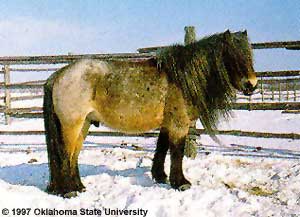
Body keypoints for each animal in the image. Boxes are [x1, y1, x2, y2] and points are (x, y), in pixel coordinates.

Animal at [43, 29, 256, 198]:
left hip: (85, 124)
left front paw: (160, 176)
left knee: (74, 155)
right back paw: (69, 191)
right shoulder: (179, 124)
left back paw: (79, 187)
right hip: (72, 124)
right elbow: (177, 152)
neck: (181, 79)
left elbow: (162, 147)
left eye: (250, 55)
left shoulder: (167, 123)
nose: (251, 85)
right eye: (233, 56)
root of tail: (59, 75)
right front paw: (181, 183)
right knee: (65, 154)